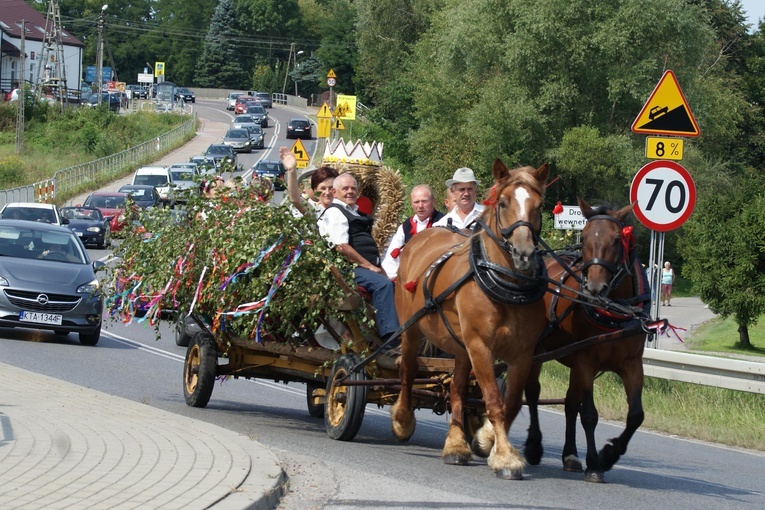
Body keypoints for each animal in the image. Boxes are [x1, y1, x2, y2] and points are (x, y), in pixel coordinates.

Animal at [390, 159, 548, 478]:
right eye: (503, 202)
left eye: (539, 206)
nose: (524, 253)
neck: (507, 285)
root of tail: (422, 236)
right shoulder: (480, 346)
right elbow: (495, 402)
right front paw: (505, 458)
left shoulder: (523, 353)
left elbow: (511, 403)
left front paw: (488, 441)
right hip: (412, 329)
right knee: (408, 372)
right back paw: (403, 419)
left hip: (461, 346)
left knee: (456, 388)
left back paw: (455, 445)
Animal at [524, 198, 652, 482]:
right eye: (582, 237)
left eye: (616, 239)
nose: (594, 288)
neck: (614, 309)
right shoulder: (586, 360)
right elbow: (590, 414)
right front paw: (594, 464)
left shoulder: (632, 363)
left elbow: (636, 415)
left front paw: (608, 455)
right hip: (535, 350)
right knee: (532, 392)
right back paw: (534, 446)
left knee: (570, 402)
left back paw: (570, 455)